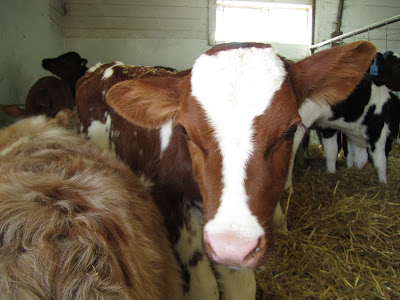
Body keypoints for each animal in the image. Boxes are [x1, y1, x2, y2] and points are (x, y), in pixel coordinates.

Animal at [75, 41, 376, 298]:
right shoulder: (172, 205)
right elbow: (205, 289)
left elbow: (242, 288)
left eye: (290, 130)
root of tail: (103, 67)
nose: (232, 244)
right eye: (185, 130)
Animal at [286, 49, 400, 190]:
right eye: (397, 63)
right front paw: (383, 183)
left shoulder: (333, 128)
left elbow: (337, 152)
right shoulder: (377, 131)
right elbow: (380, 160)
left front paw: (333, 172)